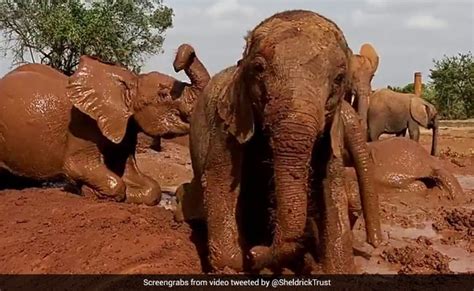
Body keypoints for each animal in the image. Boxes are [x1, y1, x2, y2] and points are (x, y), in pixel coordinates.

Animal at [0, 44, 209, 206]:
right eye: (163, 95)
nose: (177, 63)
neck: (130, 81)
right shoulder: (82, 125)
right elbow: (80, 168)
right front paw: (86, 192)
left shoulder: (125, 125)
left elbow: (146, 184)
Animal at [174, 9, 382, 274]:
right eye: (258, 68)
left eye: (338, 79)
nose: (255, 251)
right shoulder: (228, 123)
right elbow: (218, 180)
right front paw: (235, 263)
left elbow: (332, 190)